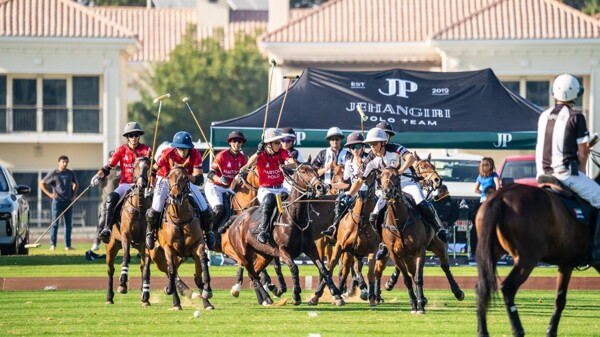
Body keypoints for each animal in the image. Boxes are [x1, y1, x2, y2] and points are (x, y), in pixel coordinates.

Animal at [103, 156, 151, 306]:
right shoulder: (126, 235)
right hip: (111, 245)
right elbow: (126, 256)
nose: (141, 185)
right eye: (135, 166)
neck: (139, 208)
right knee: (110, 269)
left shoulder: (145, 241)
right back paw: (109, 297)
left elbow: (146, 266)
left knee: (142, 266)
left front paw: (145, 296)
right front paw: (123, 283)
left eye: (149, 167)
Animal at [152, 165, 213, 310]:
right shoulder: (168, 248)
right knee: (170, 271)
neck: (180, 218)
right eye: (169, 177)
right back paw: (176, 302)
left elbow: (203, 265)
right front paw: (168, 290)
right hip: (157, 257)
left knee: (195, 276)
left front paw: (207, 291)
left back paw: (205, 300)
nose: (175, 196)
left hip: (182, 256)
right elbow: (172, 271)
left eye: (185, 178)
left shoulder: (198, 245)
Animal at [224, 161, 344, 306]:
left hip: (264, 255)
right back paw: (265, 297)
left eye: (316, 170)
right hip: (244, 253)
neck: (296, 217)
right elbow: (294, 267)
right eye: (303, 171)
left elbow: (323, 269)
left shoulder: (310, 247)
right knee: (253, 274)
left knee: (254, 273)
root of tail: (237, 219)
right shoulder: (282, 250)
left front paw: (336, 293)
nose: (321, 187)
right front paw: (296, 295)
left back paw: (262, 298)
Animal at [476, 181, 596, 336]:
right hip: (527, 258)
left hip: (492, 252)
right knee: (507, 287)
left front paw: (551, 330)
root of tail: (499, 196)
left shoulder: (566, 263)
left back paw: (483, 331)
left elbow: (560, 298)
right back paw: (517, 329)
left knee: (481, 287)